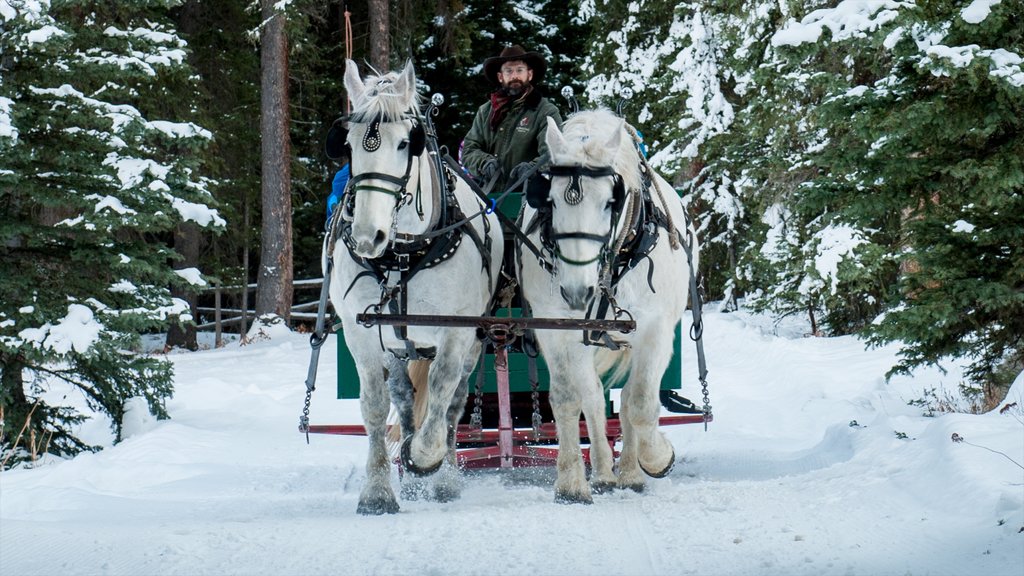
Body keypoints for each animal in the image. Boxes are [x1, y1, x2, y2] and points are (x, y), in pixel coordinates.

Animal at [327, 60, 503, 512]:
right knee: (404, 396)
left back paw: (444, 478)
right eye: (347, 145)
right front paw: (378, 491)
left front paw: (427, 458)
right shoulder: (361, 332)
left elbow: (441, 392)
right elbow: (375, 406)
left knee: (455, 403)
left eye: (407, 143)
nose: (368, 236)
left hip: (474, 339)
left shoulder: (457, 332)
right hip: (398, 345)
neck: (402, 254)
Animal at [516, 108, 700, 502]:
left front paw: (656, 458)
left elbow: (641, 403)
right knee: (594, 400)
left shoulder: (655, 330)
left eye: (610, 201)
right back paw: (603, 473)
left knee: (628, 400)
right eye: (549, 200)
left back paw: (630, 471)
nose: (576, 292)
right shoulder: (554, 328)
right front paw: (571, 482)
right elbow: (569, 399)